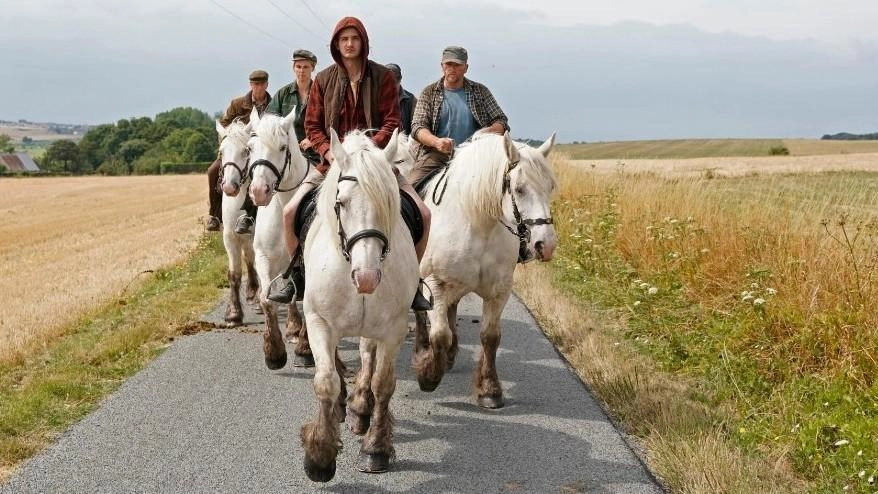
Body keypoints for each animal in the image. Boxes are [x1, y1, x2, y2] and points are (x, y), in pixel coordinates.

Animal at [300, 128, 422, 482]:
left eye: (390, 203)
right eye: (341, 203)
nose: (367, 278)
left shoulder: (394, 328)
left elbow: (383, 383)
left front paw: (375, 448)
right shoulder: (318, 321)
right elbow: (325, 381)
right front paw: (320, 457)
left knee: (368, 357)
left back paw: (359, 409)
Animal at [412, 131, 556, 410]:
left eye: (550, 187)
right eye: (519, 189)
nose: (546, 245)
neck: (478, 225)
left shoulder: (499, 290)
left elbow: (490, 337)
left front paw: (490, 389)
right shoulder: (435, 284)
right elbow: (440, 334)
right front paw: (428, 376)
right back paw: (423, 350)